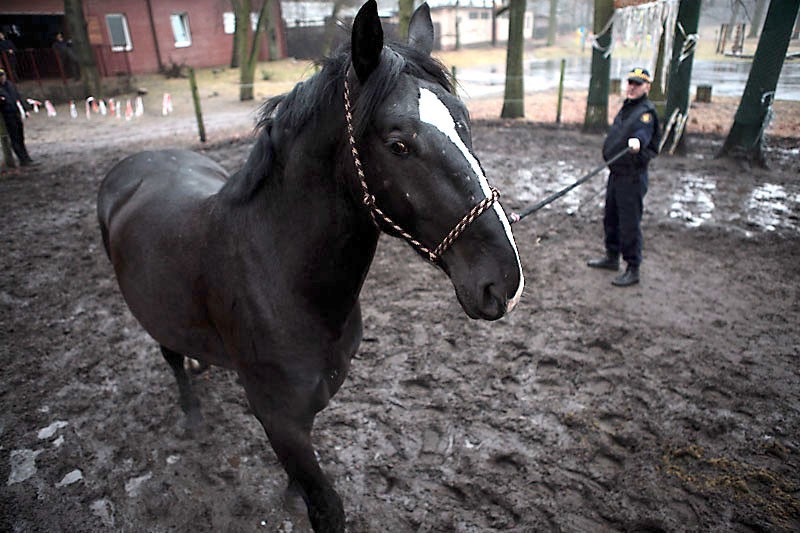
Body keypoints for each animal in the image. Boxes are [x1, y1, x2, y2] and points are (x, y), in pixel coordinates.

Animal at [97, 2, 524, 528]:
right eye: (399, 144)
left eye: (464, 123)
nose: (503, 280)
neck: (283, 281)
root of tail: (133, 166)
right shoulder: (279, 418)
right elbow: (326, 508)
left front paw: (290, 495)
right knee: (170, 356)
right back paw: (191, 414)